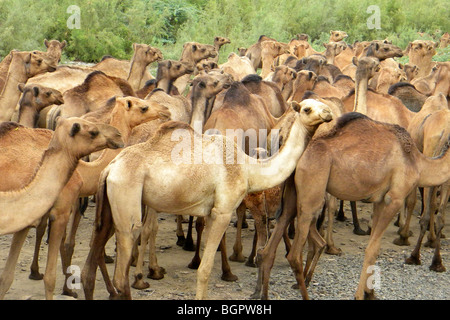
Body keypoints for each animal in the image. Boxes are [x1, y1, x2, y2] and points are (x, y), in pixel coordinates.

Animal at [81, 98, 332, 300]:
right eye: (307, 108)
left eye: (323, 104)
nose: (329, 113)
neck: (248, 169)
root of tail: (110, 168)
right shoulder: (224, 210)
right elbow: (205, 269)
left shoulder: (212, 212)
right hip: (127, 200)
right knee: (122, 270)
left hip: (109, 208)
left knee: (90, 264)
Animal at [253, 110, 450, 300]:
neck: (418, 163)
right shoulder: (394, 198)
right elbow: (371, 249)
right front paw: (360, 295)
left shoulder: (380, 200)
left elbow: (375, 247)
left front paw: (371, 294)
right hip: (311, 192)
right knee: (294, 254)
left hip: (292, 195)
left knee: (270, 247)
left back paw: (263, 295)